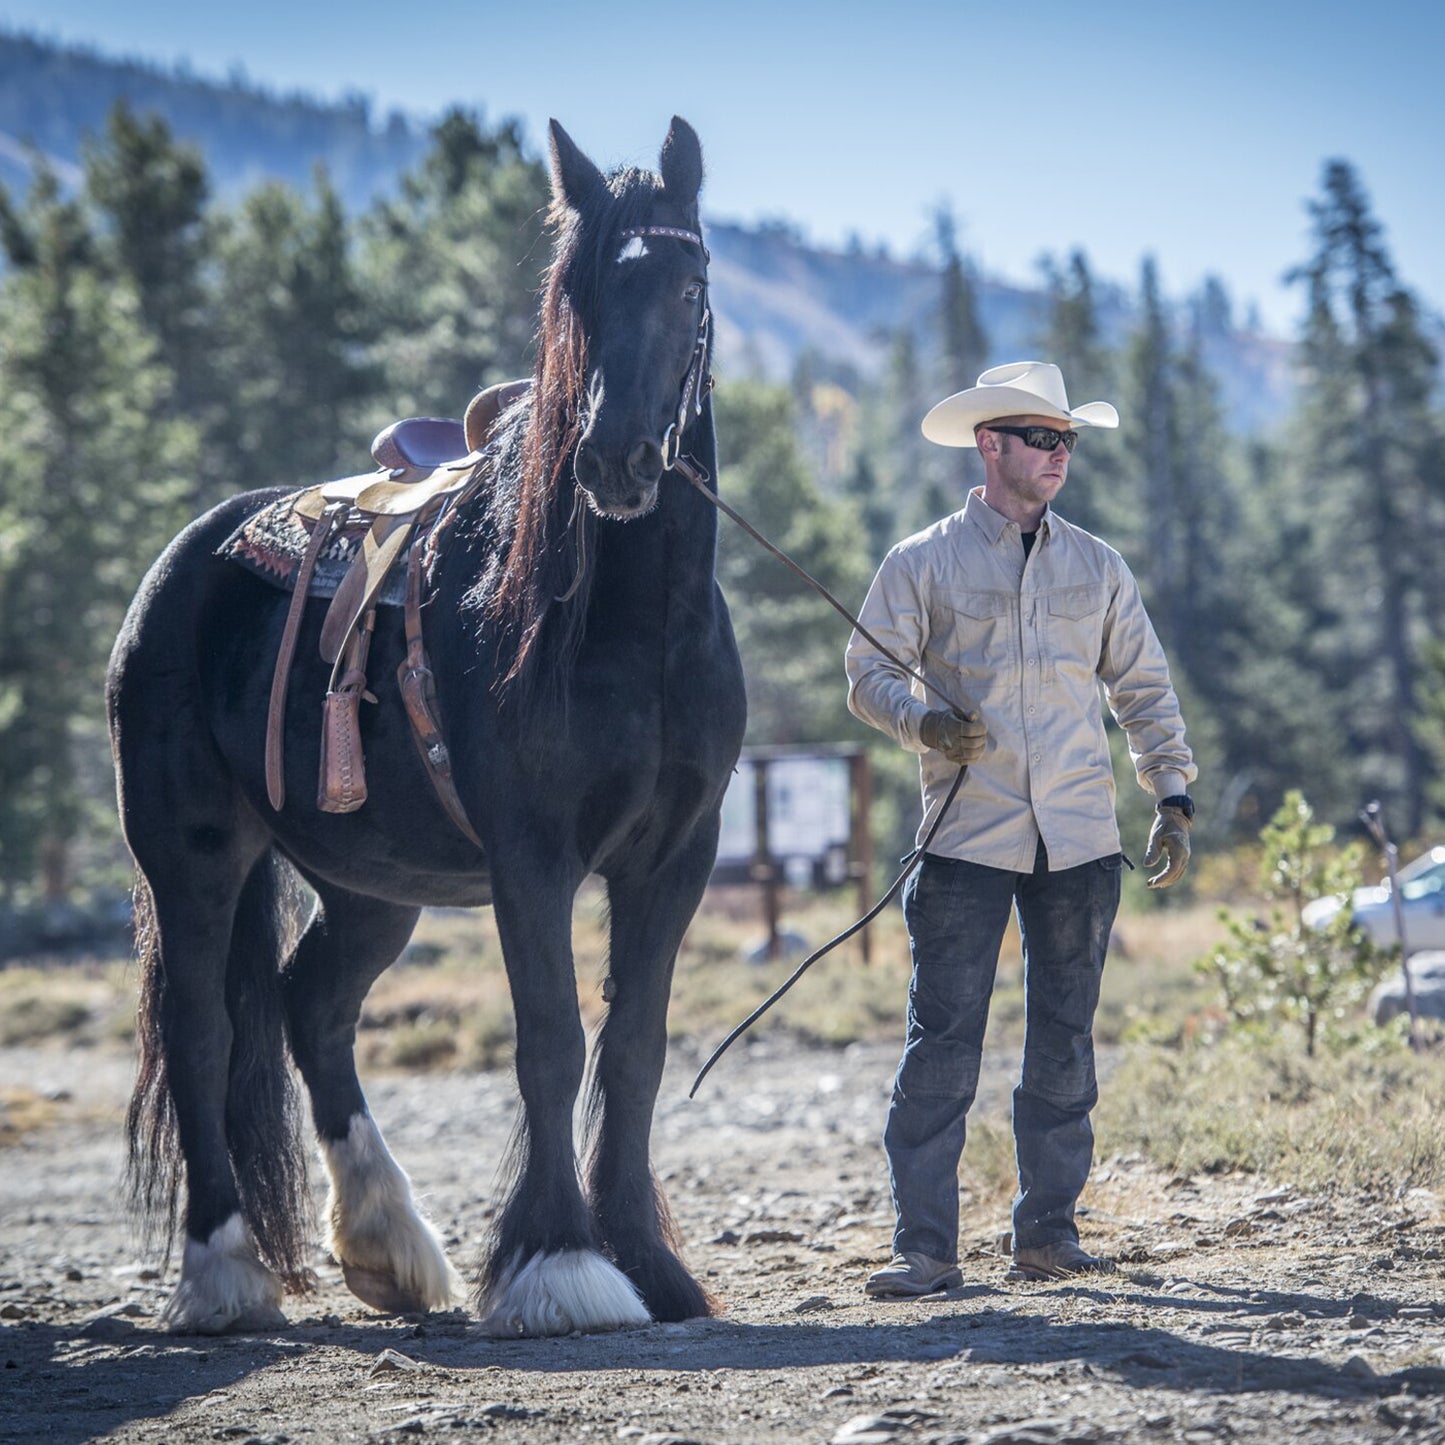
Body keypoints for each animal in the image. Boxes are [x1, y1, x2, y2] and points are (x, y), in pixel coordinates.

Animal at [109, 115, 745, 1340]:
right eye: (578, 291)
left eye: (689, 285)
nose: (614, 460)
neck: (629, 626)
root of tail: (181, 566)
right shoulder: (531, 858)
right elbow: (551, 1040)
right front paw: (560, 1263)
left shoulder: (674, 859)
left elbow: (633, 1050)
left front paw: (650, 1264)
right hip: (193, 856)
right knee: (205, 1027)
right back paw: (224, 1273)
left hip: (370, 883)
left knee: (311, 1005)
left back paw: (388, 1244)